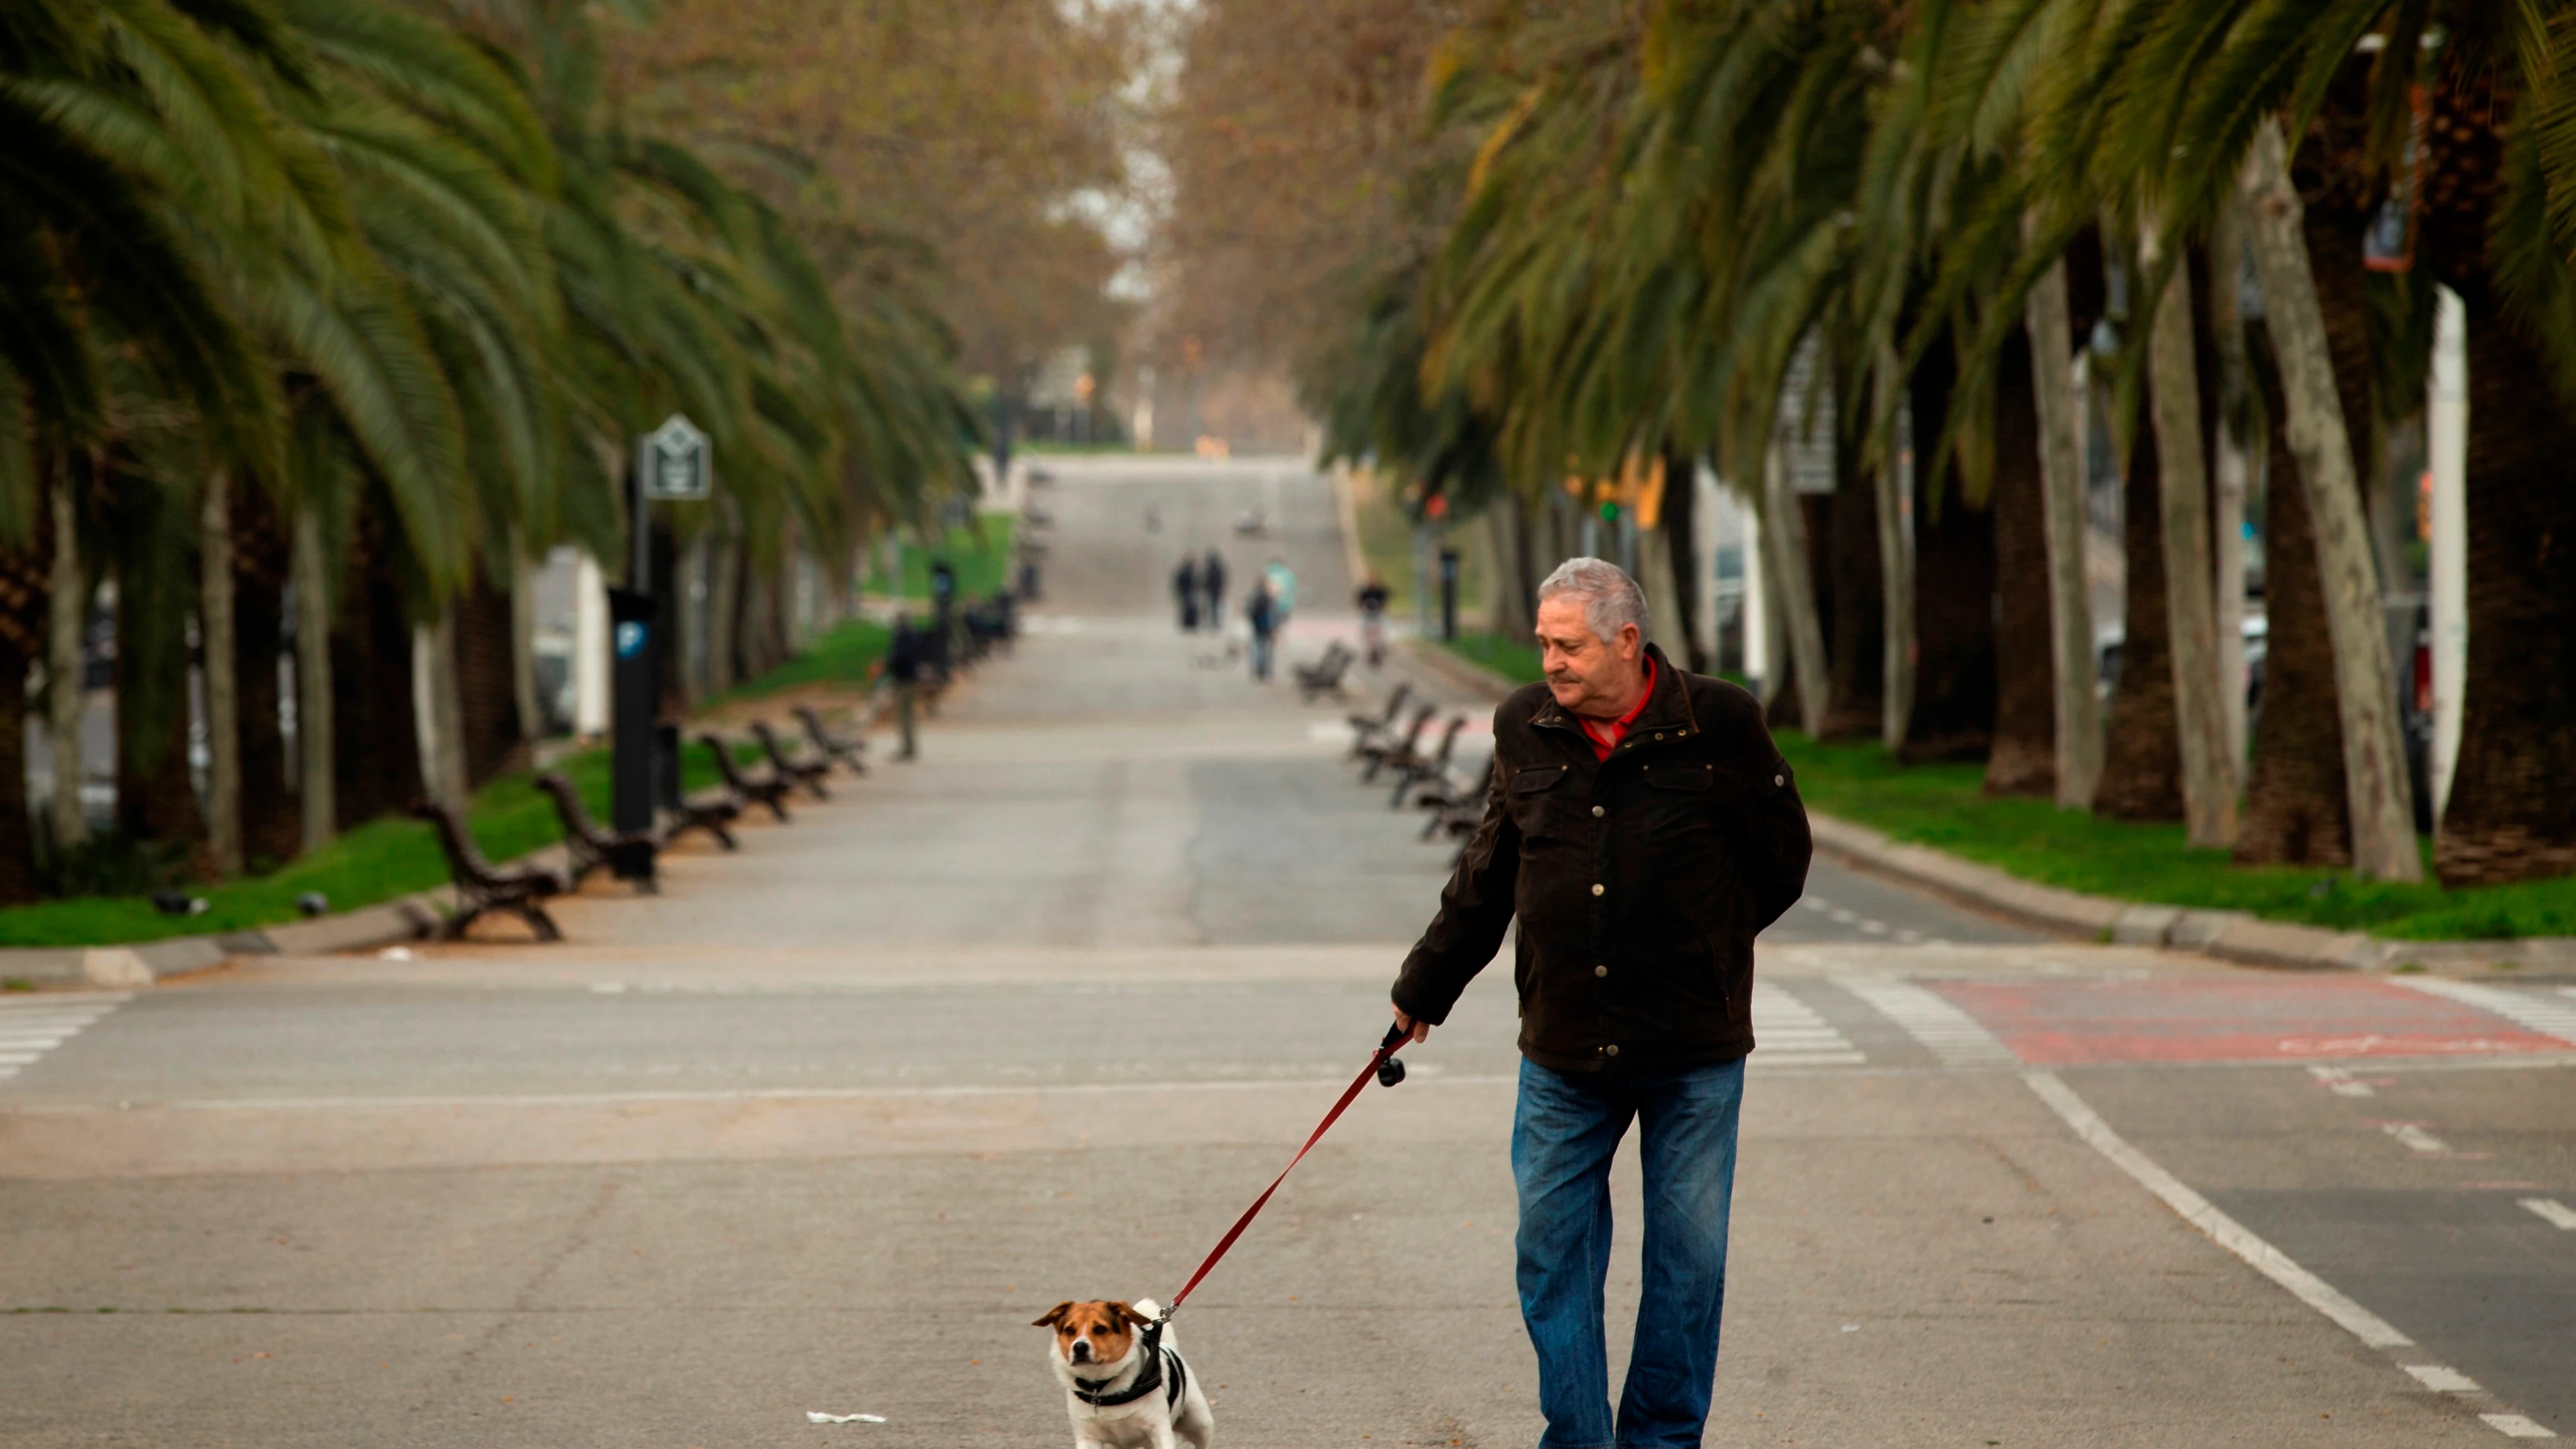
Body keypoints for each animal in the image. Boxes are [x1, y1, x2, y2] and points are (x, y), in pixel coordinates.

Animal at [1030, 1289, 1210, 1433]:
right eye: (1069, 1330)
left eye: (1100, 1329)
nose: (1079, 1347)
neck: (1100, 1386)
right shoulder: (1088, 1436)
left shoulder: (1158, 1426)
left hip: (1201, 1422)